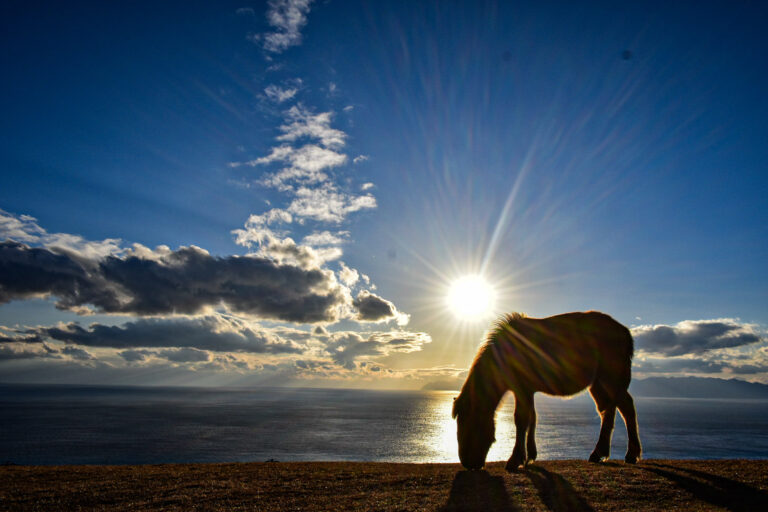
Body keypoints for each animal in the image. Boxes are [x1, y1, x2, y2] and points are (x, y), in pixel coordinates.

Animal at [452, 311, 642, 471]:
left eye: (469, 424)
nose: (468, 464)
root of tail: (624, 332)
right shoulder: (527, 390)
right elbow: (532, 418)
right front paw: (530, 456)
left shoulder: (522, 389)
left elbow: (521, 420)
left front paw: (515, 460)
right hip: (598, 384)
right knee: (609, 411)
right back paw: (600, 454)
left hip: (610, 379)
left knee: (625, 408)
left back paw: (630, 455)